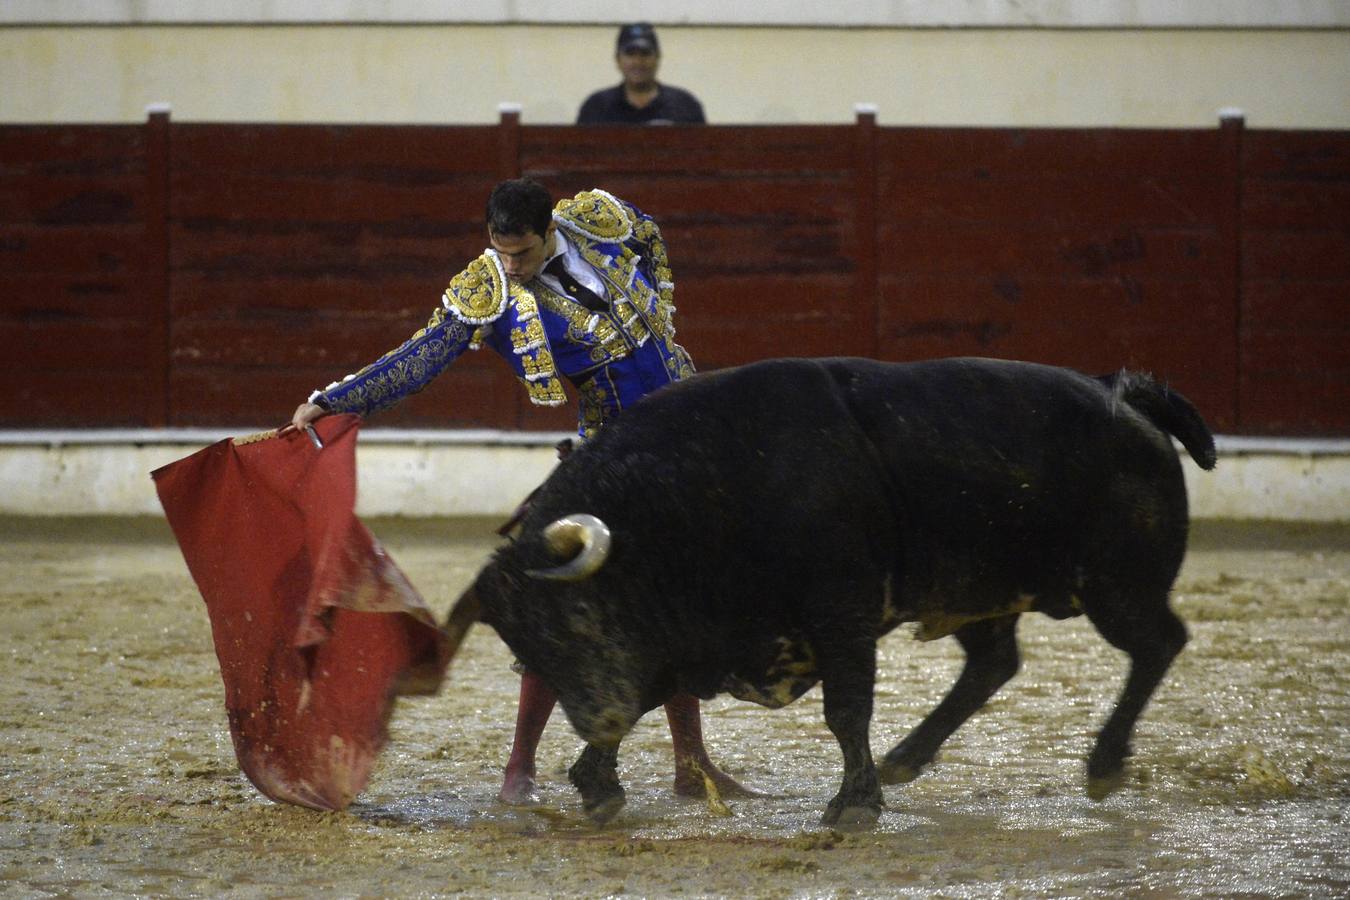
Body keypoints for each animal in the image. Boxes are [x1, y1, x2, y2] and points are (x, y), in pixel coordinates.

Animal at [437, 356, 1220, 825]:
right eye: (524, 641)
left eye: (574, 615)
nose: (595, 718)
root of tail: (1126, 399)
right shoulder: (687, 638)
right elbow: (658, 696)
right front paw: (596, 783)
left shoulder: (841, 614)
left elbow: (846, 711)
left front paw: (853, 804)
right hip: (977, 589)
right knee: (995, 663)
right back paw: (909, 756)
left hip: (1119, 586)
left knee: (1159, 644)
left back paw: (1105, 764)